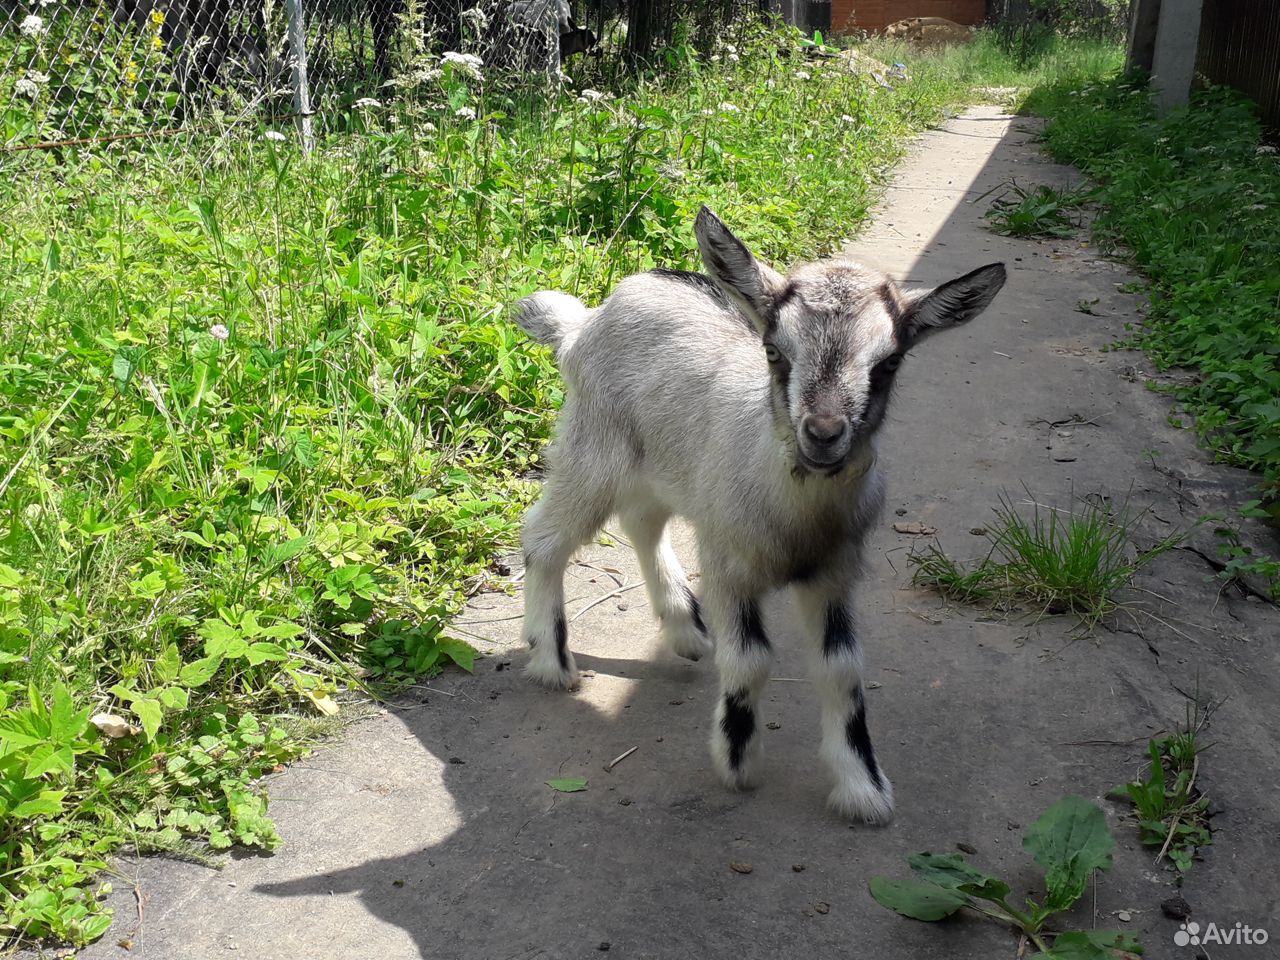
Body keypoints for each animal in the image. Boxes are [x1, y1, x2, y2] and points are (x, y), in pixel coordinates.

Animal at [506, 207, 998, 824]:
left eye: (889, 363)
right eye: (774, 351)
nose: (823, 434)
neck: (796, 521)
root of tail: (586, 321)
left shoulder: (835, 573)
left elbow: (843, 668)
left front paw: (862, 787)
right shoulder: (730, 566)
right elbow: (750, 660)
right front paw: (737, 758)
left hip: (667, 465)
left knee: (643, 520)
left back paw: (685, 629)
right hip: (596, 447)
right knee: (545, 536)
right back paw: (551, 661)